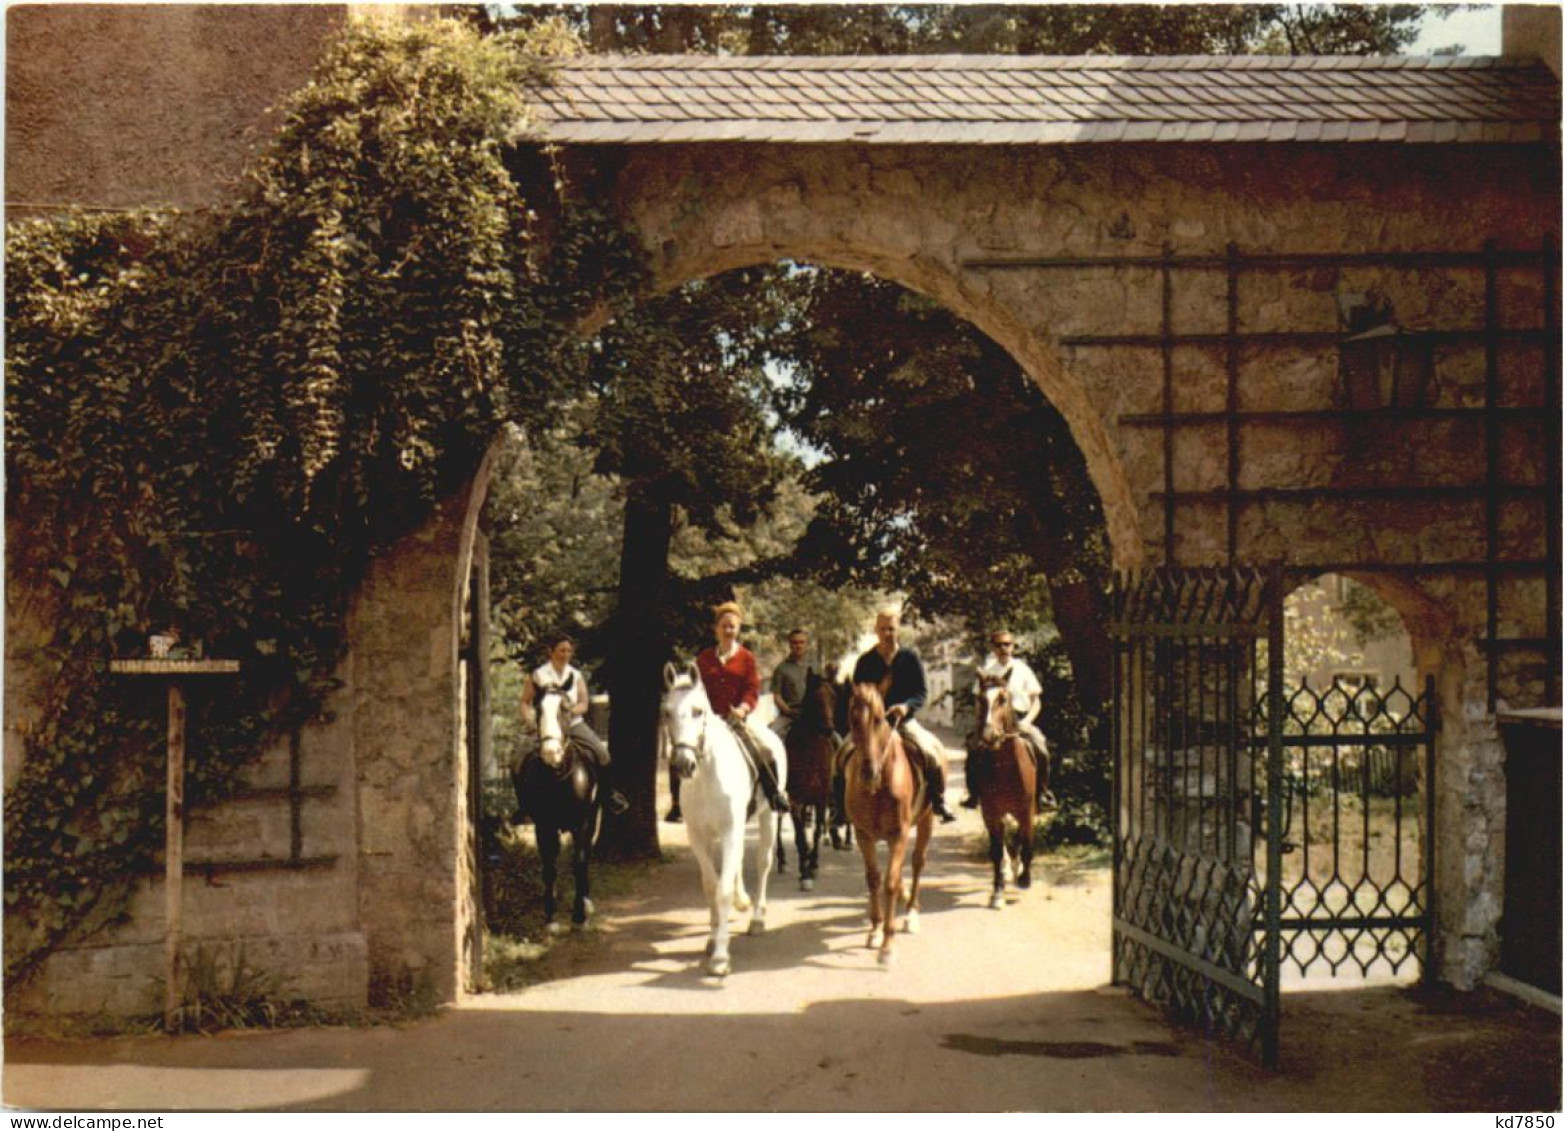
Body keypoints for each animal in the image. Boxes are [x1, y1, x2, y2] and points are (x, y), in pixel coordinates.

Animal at [660, 663, 788, 982]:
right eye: (666, 712)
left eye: (697, 711)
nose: (683, 764)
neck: (707, 774)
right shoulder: (699, 836)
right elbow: (710, 886)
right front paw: (712, 936)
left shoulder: (731, 831)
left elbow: (723, 890)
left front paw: (720, 957)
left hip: (767, 817)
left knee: (763, 863)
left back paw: (757, 917)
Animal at [844, 682, 925, 963]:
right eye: (852, 719)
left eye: (880, 719)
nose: (869, 773)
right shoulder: (864, 835)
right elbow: (874, 879)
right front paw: (876, 931)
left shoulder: (899, 834)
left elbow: (889, 882)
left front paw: (888, 946)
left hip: (926, 821)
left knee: (917, 863)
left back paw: (911, 912)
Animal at [969, 672, 1044, 913]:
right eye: (980, 699)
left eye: (1003, 698)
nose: (988, 735)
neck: (1005, 766)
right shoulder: (992, 814)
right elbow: (996, 852)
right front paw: (998, 893)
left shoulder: (1026, 811)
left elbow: (1027, 845)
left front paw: (1024, 879)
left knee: (1019, 840)